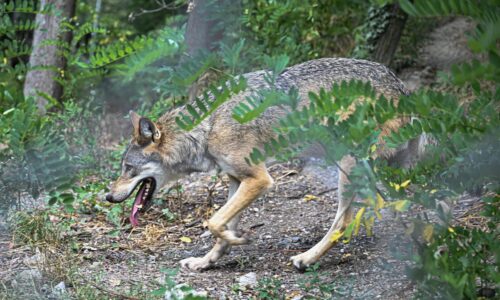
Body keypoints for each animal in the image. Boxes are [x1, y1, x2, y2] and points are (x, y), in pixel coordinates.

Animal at [106, 57, 422, 270]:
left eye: (128, 168)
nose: (108, 196)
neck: (208, 126)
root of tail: (404, 89)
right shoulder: (236, 181)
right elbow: (221, 228)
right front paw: (206, 262)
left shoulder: (259, 180)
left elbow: (214, 221)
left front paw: (239, 240)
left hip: (348, 165)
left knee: (343, 222)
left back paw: (306, 259)